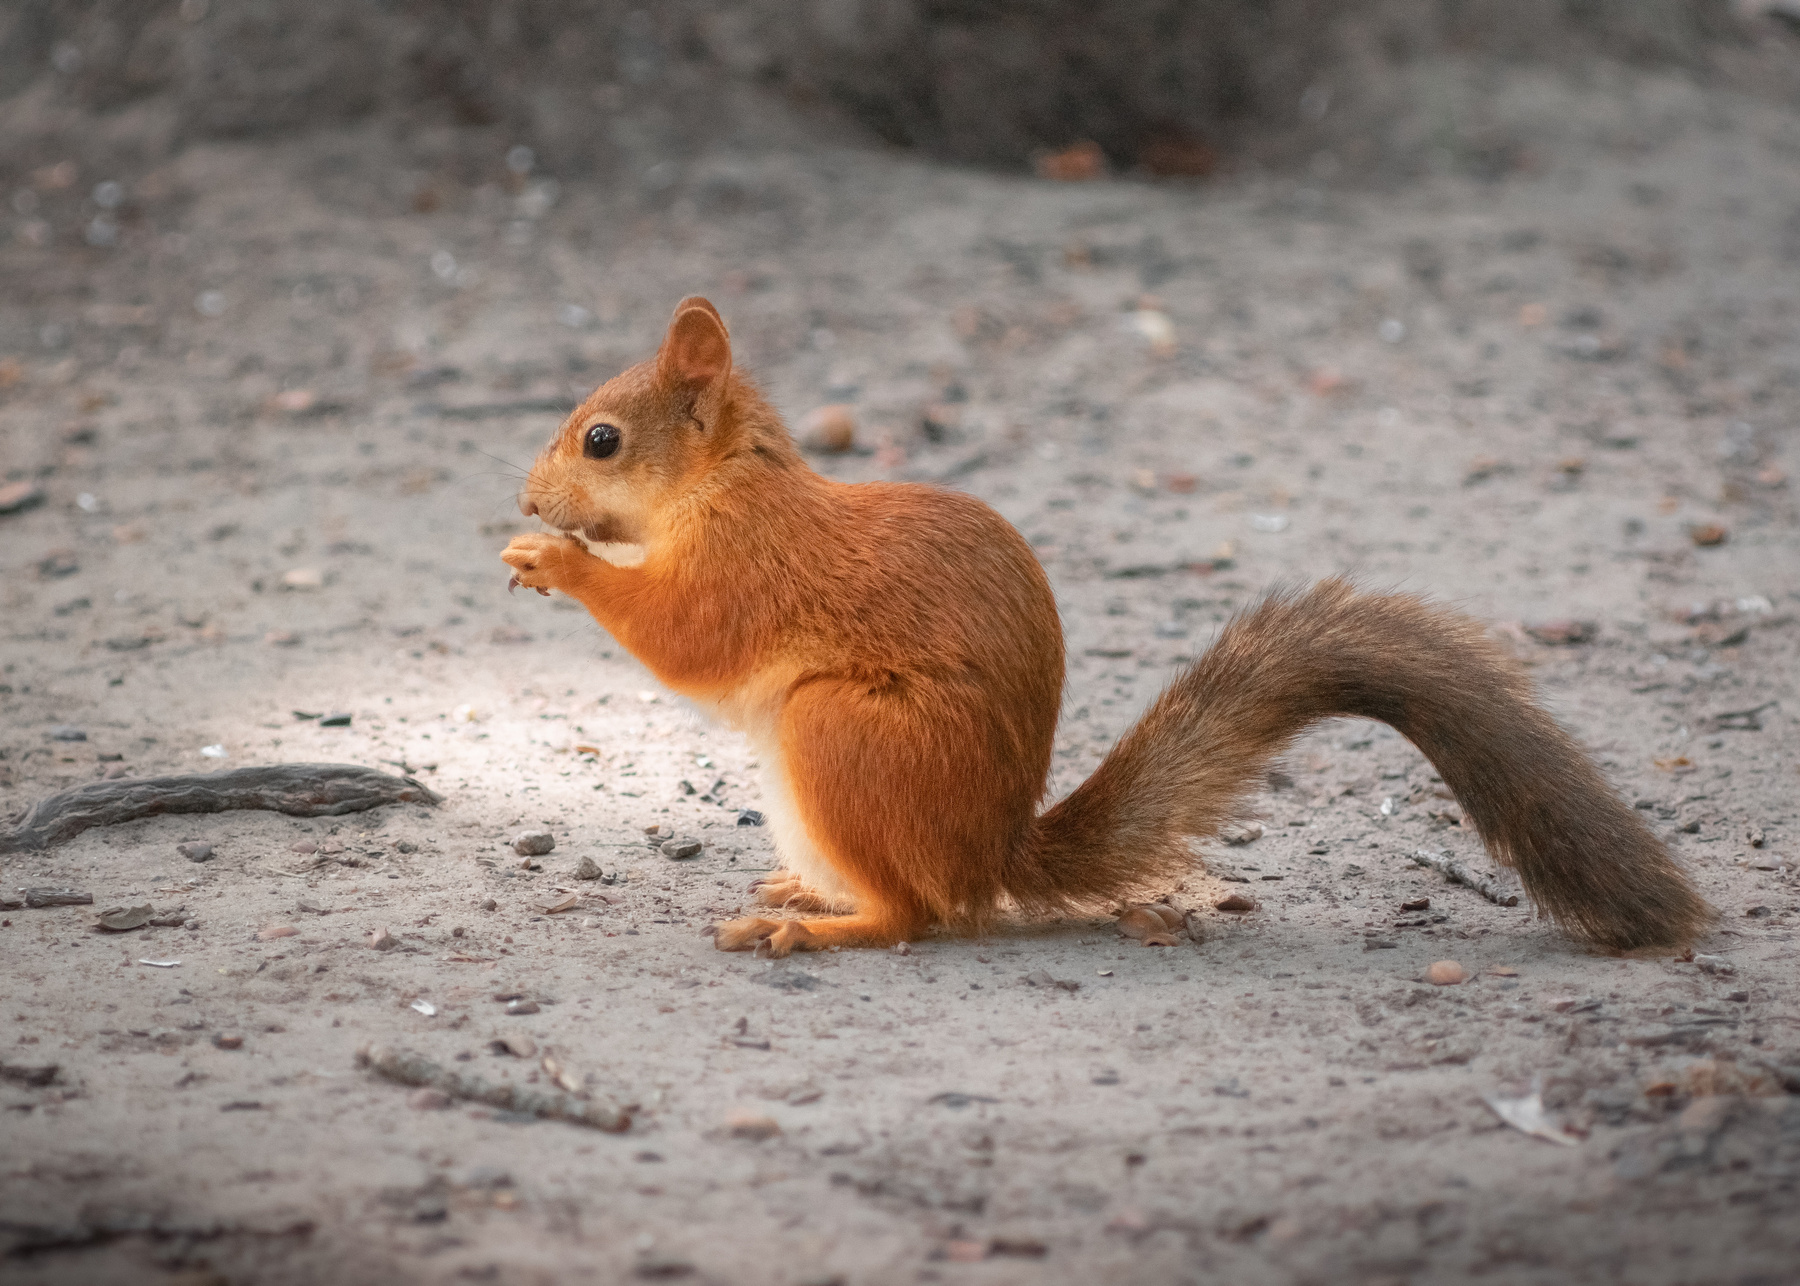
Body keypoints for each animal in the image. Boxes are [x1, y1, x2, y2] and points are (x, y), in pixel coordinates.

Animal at [502, 297, 1712, 958]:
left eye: (603, 439)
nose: (526, 496)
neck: (724, 483)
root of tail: (992, 850)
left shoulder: (744, 566)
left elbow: (682, 635)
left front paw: (558, 562)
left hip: (843, 731)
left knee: (919, 915)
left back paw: (821, 925)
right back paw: (809, 889)